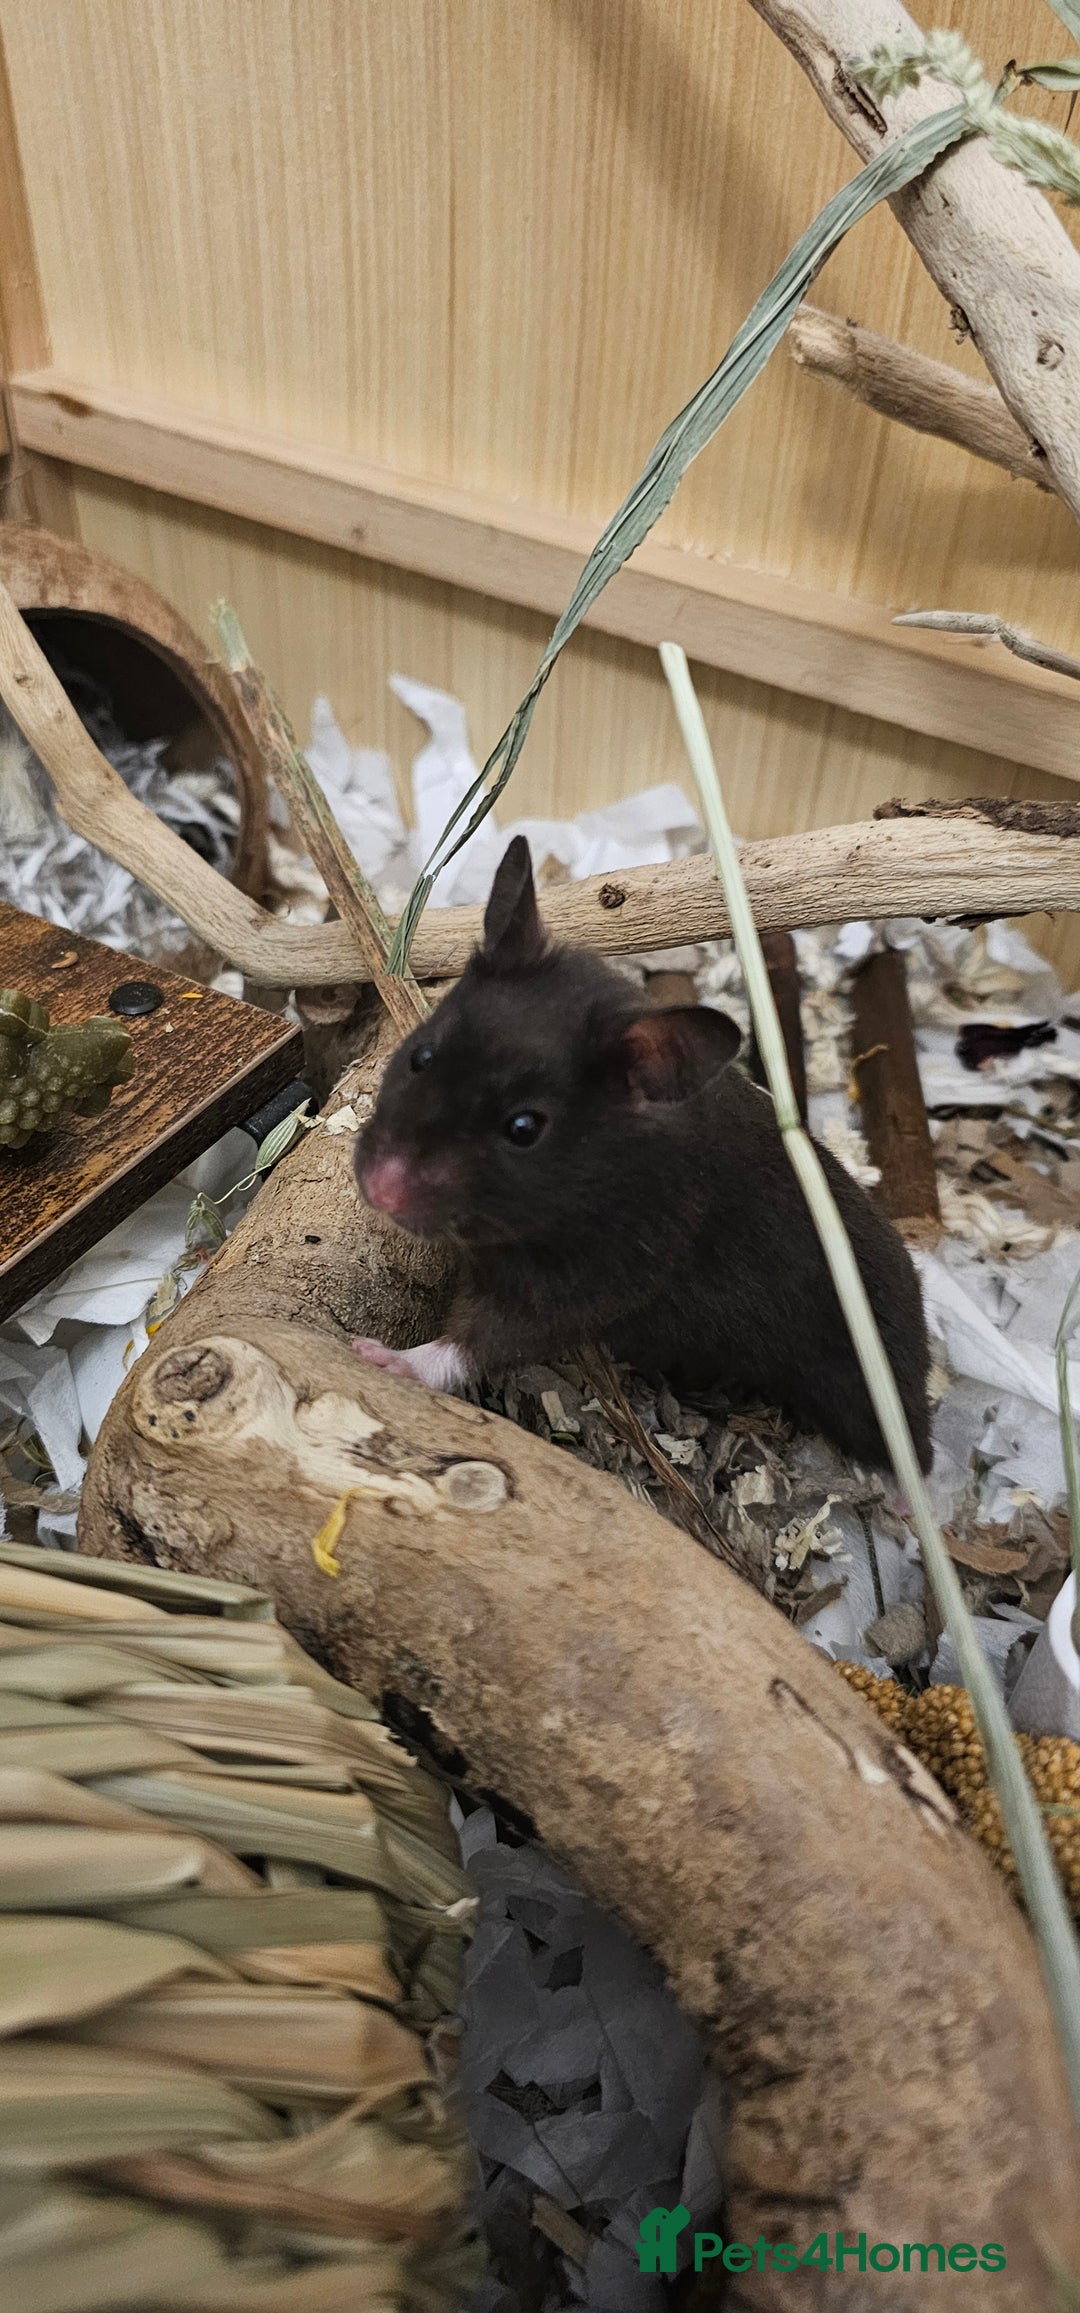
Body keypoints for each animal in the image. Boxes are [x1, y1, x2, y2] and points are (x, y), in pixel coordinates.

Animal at [353, 836, 932, 1474]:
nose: (380, 1189)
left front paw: (373, 1355)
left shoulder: (594, 1284)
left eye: (524, 1128)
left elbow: (477, 1342)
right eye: (421, 1056)